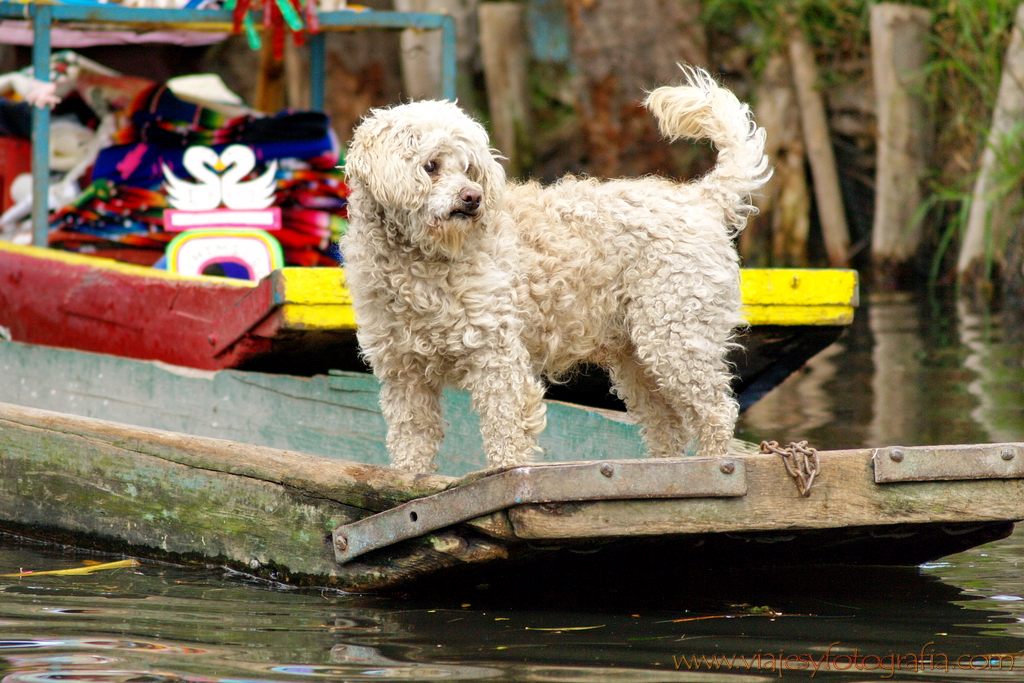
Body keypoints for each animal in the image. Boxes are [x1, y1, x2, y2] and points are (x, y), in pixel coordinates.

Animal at [344, 66, 770, 473]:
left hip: (676, 335)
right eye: (431, 166)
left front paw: (505, 473)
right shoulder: (403, 372)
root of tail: (703, 199)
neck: (423, 266)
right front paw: (409, 478)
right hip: (638, 358)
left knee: (715, 411)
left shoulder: (496, 357)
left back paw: (717, 465)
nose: (473, 197)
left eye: (468, 169)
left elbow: (505, 428)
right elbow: (411, 439)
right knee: (669, 425)